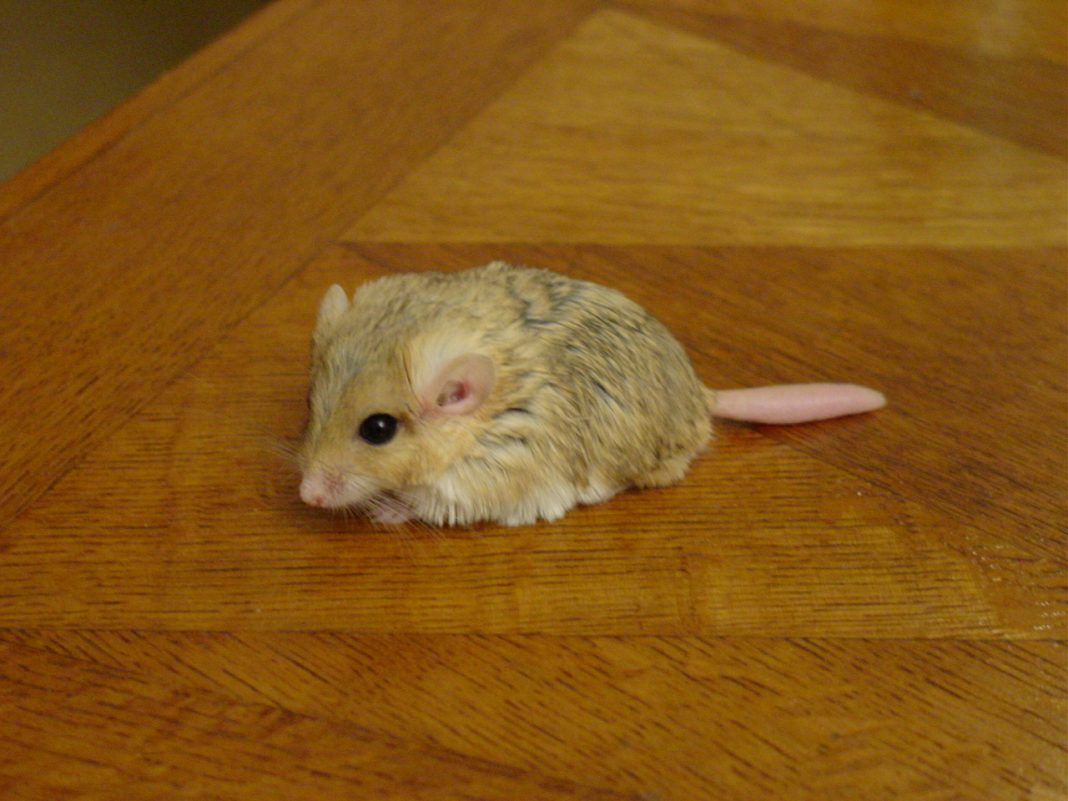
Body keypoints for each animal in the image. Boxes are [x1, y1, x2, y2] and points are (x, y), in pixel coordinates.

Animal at [298, 262, 885, 527]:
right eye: (310, 404)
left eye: (377, 429)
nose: (307, 496)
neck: (487, 419)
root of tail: (704, 399)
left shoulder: (488, 475)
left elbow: (422, 499)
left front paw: (384, 510)